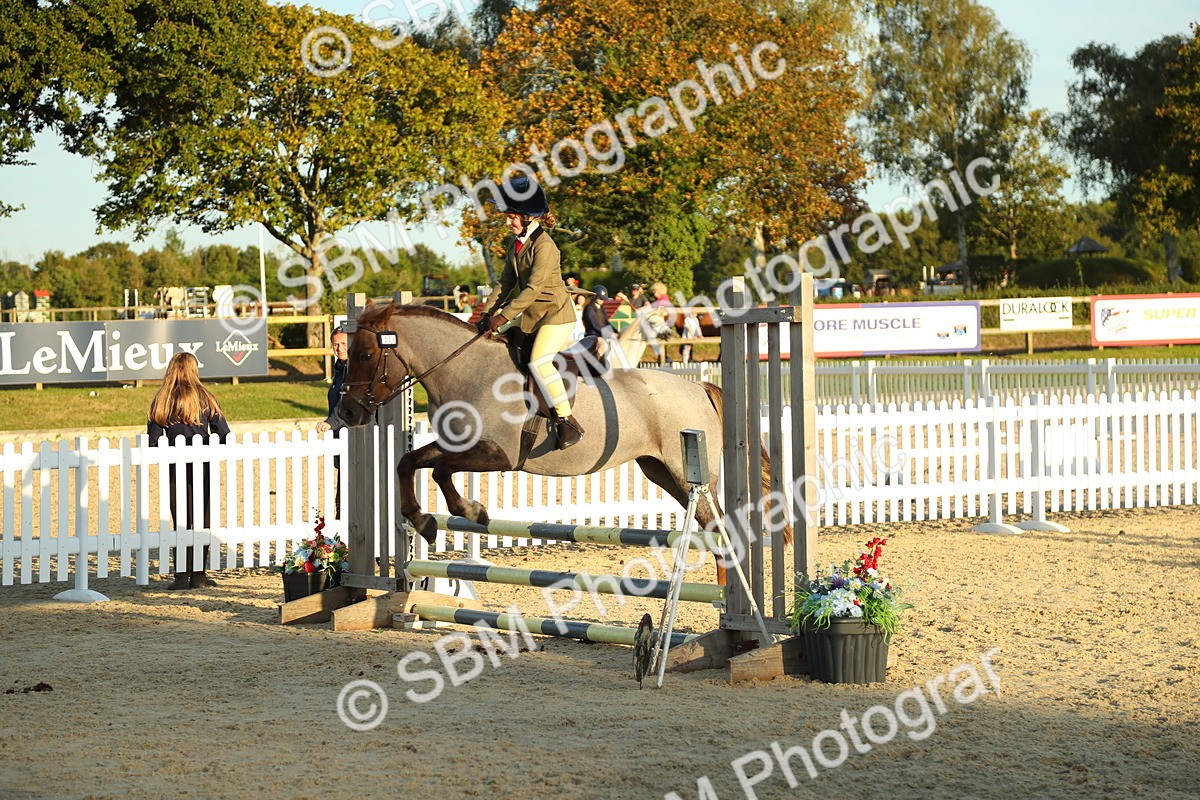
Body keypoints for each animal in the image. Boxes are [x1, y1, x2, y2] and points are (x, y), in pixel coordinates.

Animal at [336, 302, 790, 561]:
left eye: (366, 354)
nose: (347, 412)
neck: (468, 371)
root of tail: (699, 387)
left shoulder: (497, 455)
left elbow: (440, 471)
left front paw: (470, 511)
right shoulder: (457, 445)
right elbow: (407, 461)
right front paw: (425, 520)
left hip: (688, 475)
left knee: (719, 526)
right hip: (663, 472)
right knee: (710, 525)